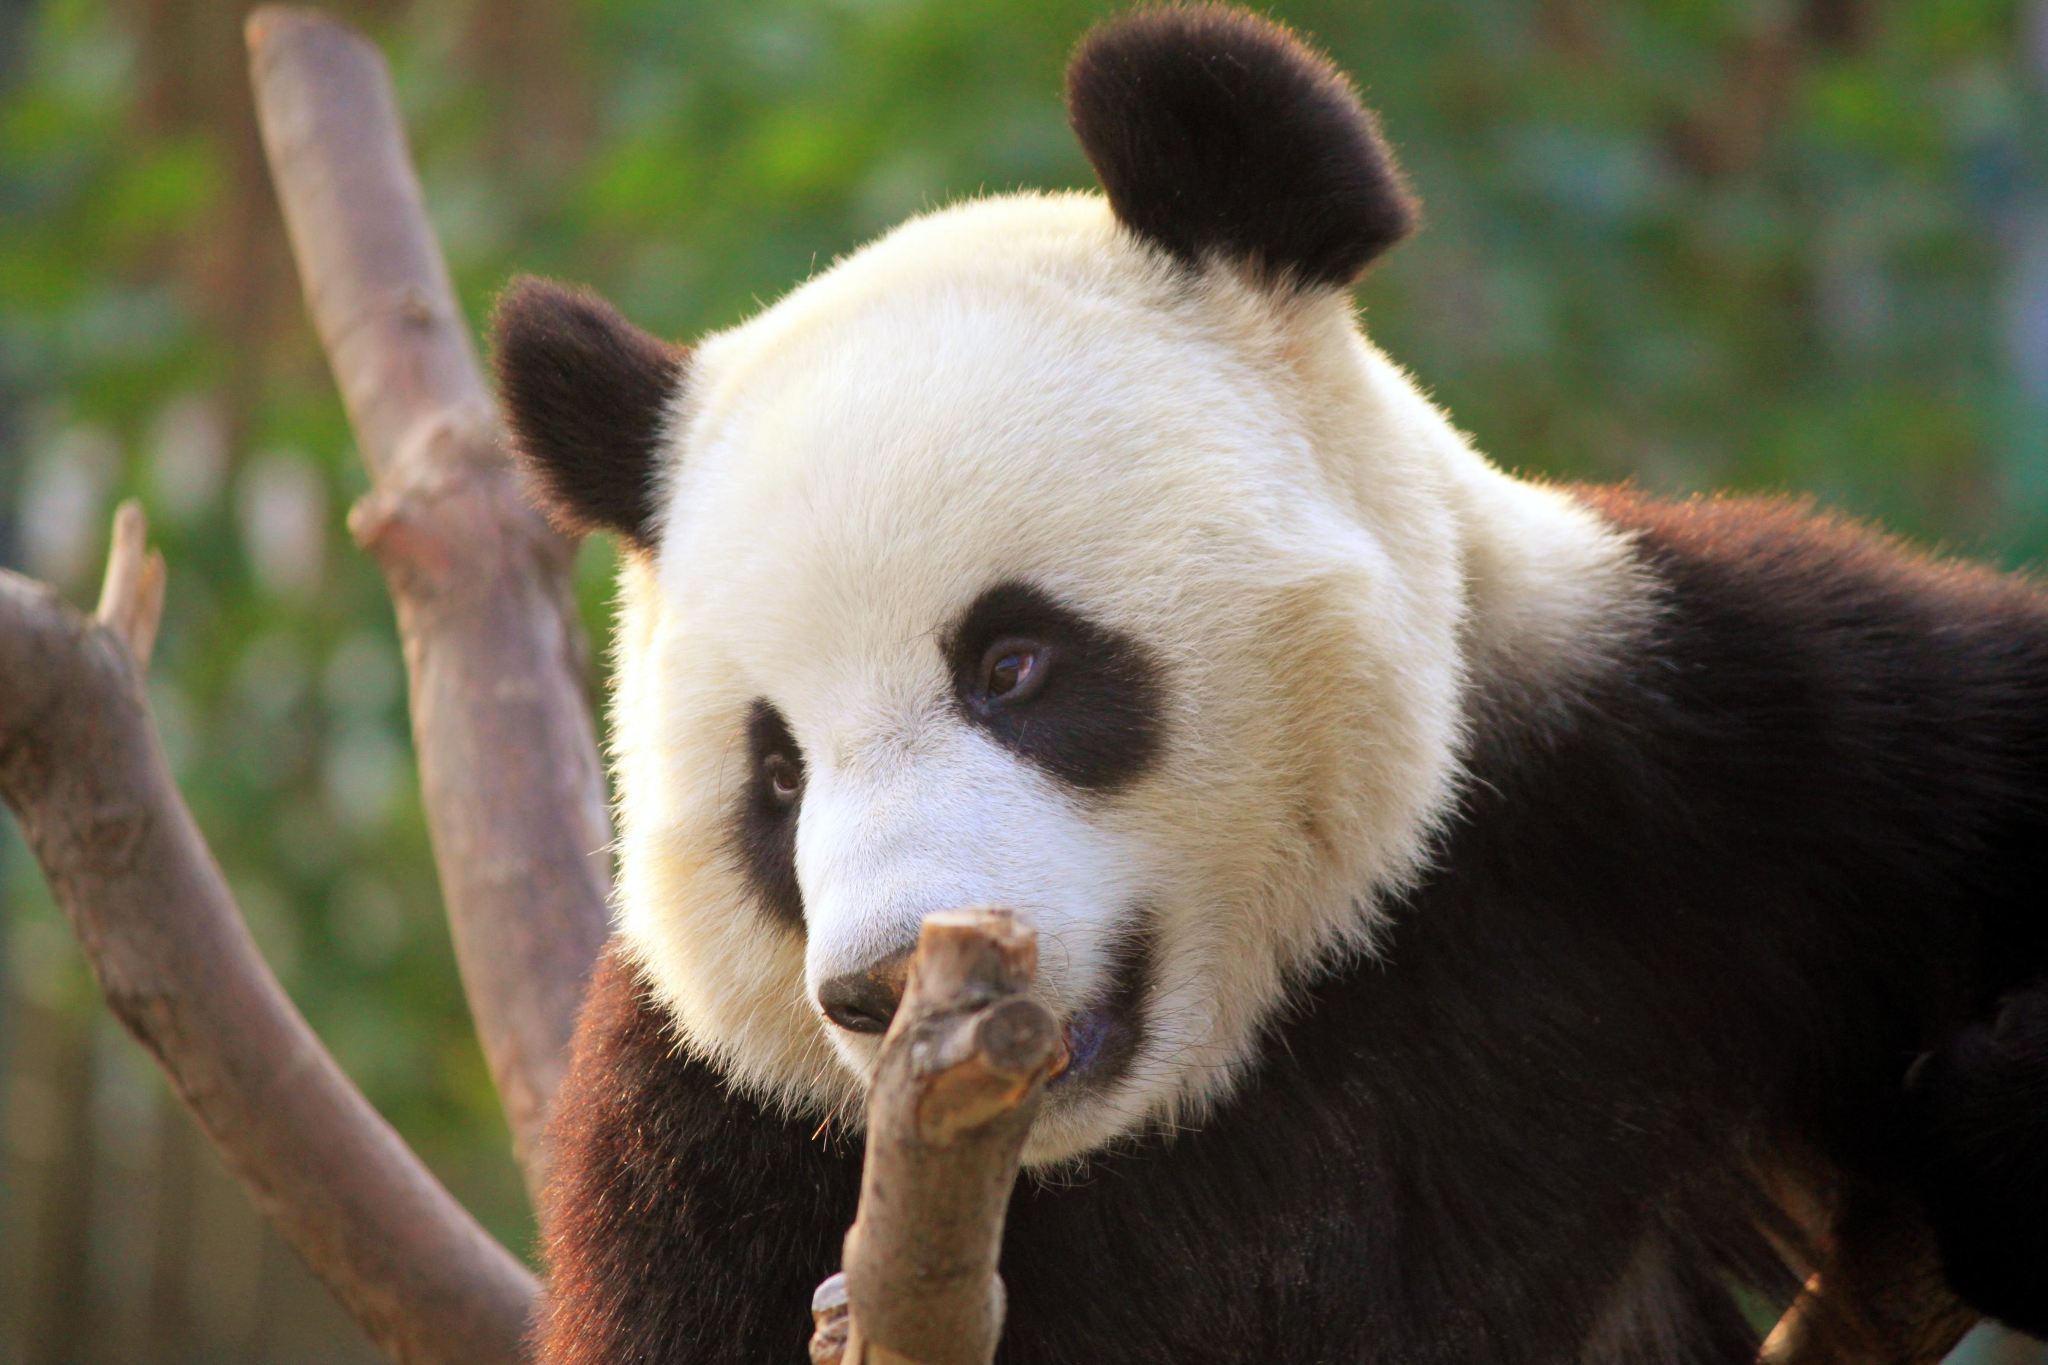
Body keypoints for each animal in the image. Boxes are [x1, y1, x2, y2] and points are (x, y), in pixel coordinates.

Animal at [492, 7, 2048, 1362]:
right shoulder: (706, 1152)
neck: (1215, 1080)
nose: (878, 990)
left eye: (1012, 664)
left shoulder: (1695, 751)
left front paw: (2003, 1130)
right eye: (778, 775)